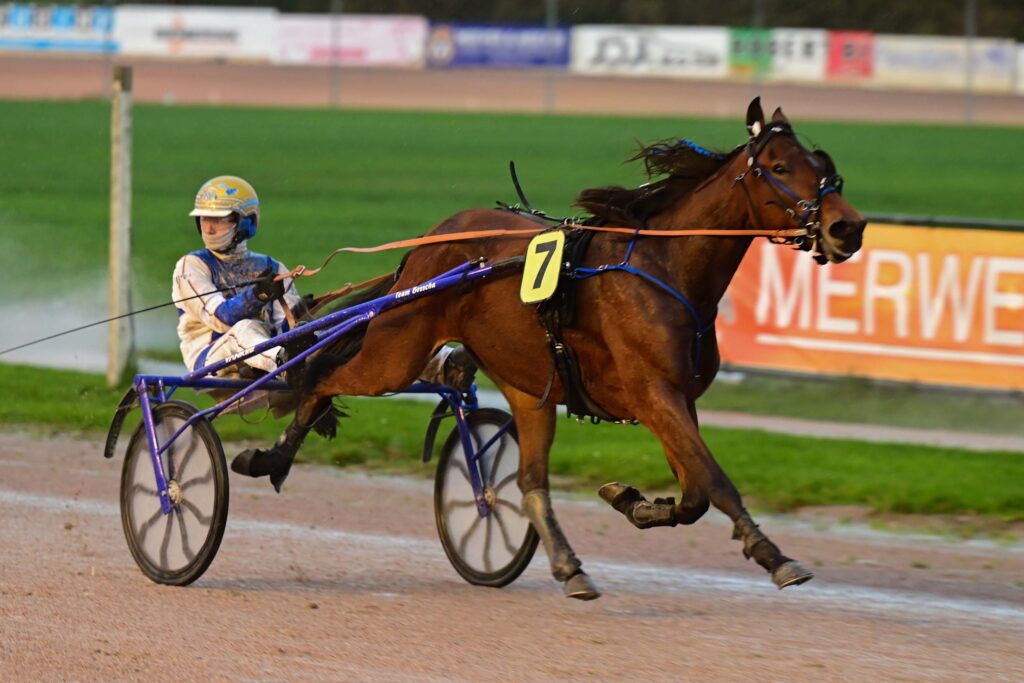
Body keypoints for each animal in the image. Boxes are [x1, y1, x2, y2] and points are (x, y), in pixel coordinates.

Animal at [234, 98, 866, 599]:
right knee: (321, 379)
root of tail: (429, 244)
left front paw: (632, 500)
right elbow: (716, 482)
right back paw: (272, 457)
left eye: (826, 168)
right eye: (781, 167)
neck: (665, 268)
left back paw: (568, 565)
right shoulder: (654, 393)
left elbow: (695, 493)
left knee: (529, 482)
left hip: (527, 388)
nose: (849, 228)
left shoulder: (676, 399)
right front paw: (775, 556)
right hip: (396, 353)